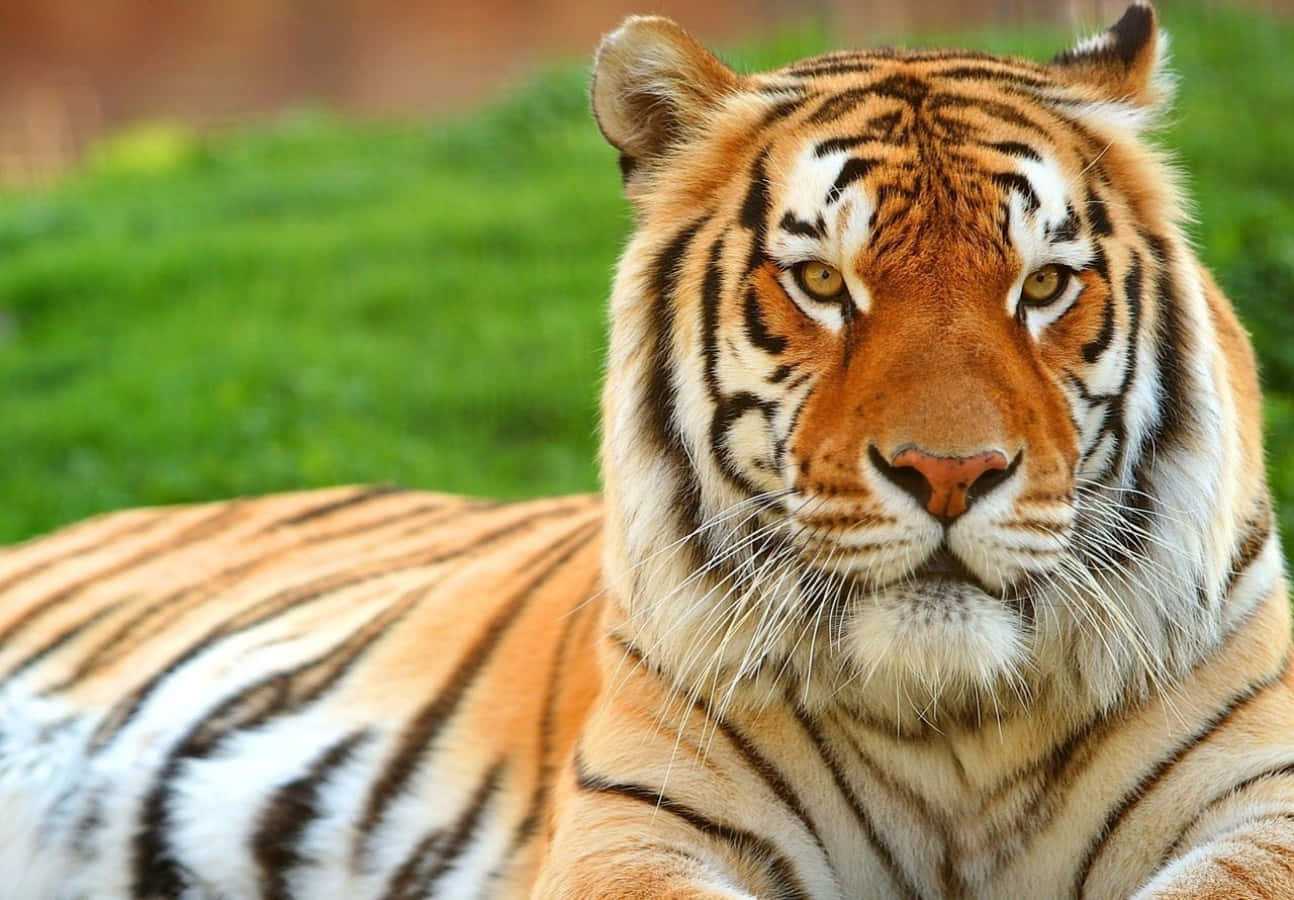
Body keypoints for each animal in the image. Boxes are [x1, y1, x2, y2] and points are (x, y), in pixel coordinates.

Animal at [1, 2, 1290, 897]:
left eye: (1043, 286)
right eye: (821, 282)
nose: (949, 475)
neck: (952, 735)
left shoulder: (1259, 804)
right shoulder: (637, 825)